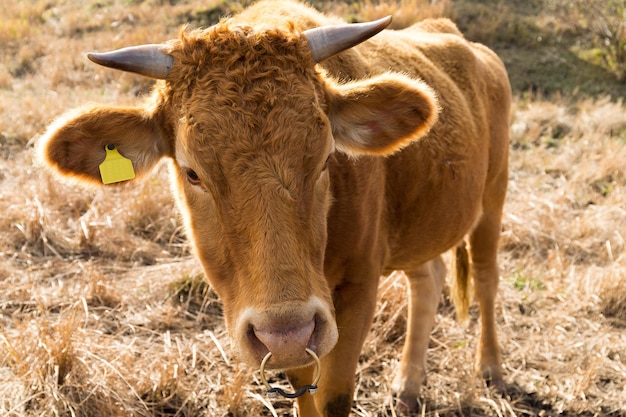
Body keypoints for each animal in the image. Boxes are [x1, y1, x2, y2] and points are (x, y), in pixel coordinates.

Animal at [37, 1, 508, 414]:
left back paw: (491, 369)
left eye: (326, 158)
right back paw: (408, 385)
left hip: (493, 196)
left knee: (486, 279)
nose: (285, 332)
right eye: (192, 172)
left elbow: (333, 394)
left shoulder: (359, 285)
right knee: (427, 281)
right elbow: (304, 390)